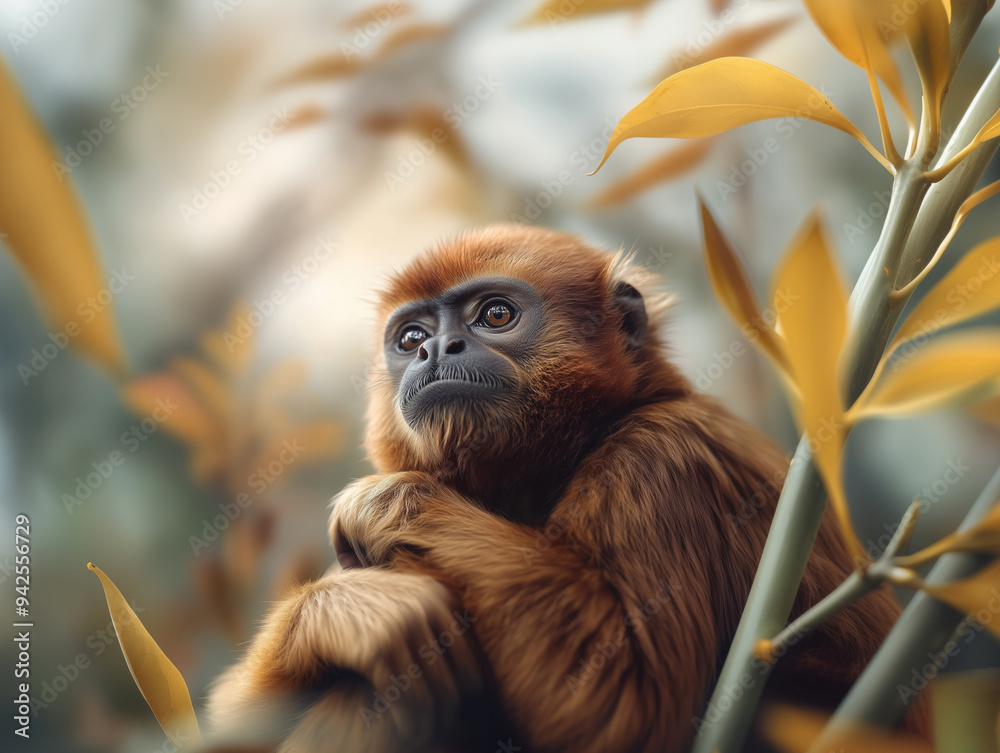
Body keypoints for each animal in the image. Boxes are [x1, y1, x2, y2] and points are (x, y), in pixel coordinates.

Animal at [206, 224, 916, 753]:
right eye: (411, 338)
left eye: (495, 315)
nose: (436, 351)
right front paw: (345, 612)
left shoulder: (661, 458)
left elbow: (621, 712)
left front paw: (383, 504)